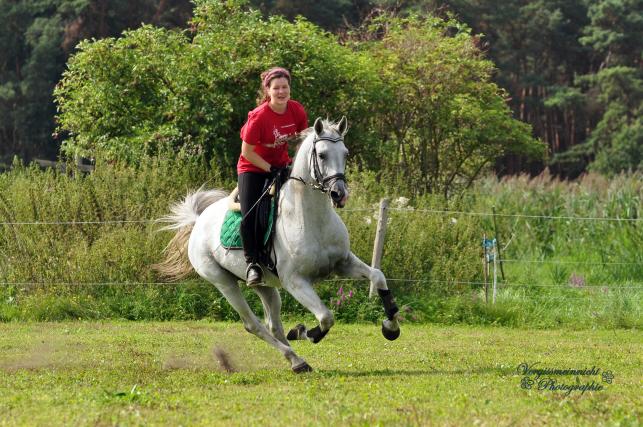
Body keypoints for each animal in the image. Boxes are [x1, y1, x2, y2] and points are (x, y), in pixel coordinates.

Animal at [157, 118, 398, 374]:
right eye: (322, 155)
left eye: (346, 153)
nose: (339, 194)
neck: (311, 219)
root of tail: (198, 221)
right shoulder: (296, 282)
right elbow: (325, 317)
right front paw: (304, 332)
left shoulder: (343, 262)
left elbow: (378, 276)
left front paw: (391, 328)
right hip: (223, 282)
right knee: (253, 324)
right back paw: (295, 357)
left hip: (265, 285)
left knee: (273, 325)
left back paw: (296, 360)